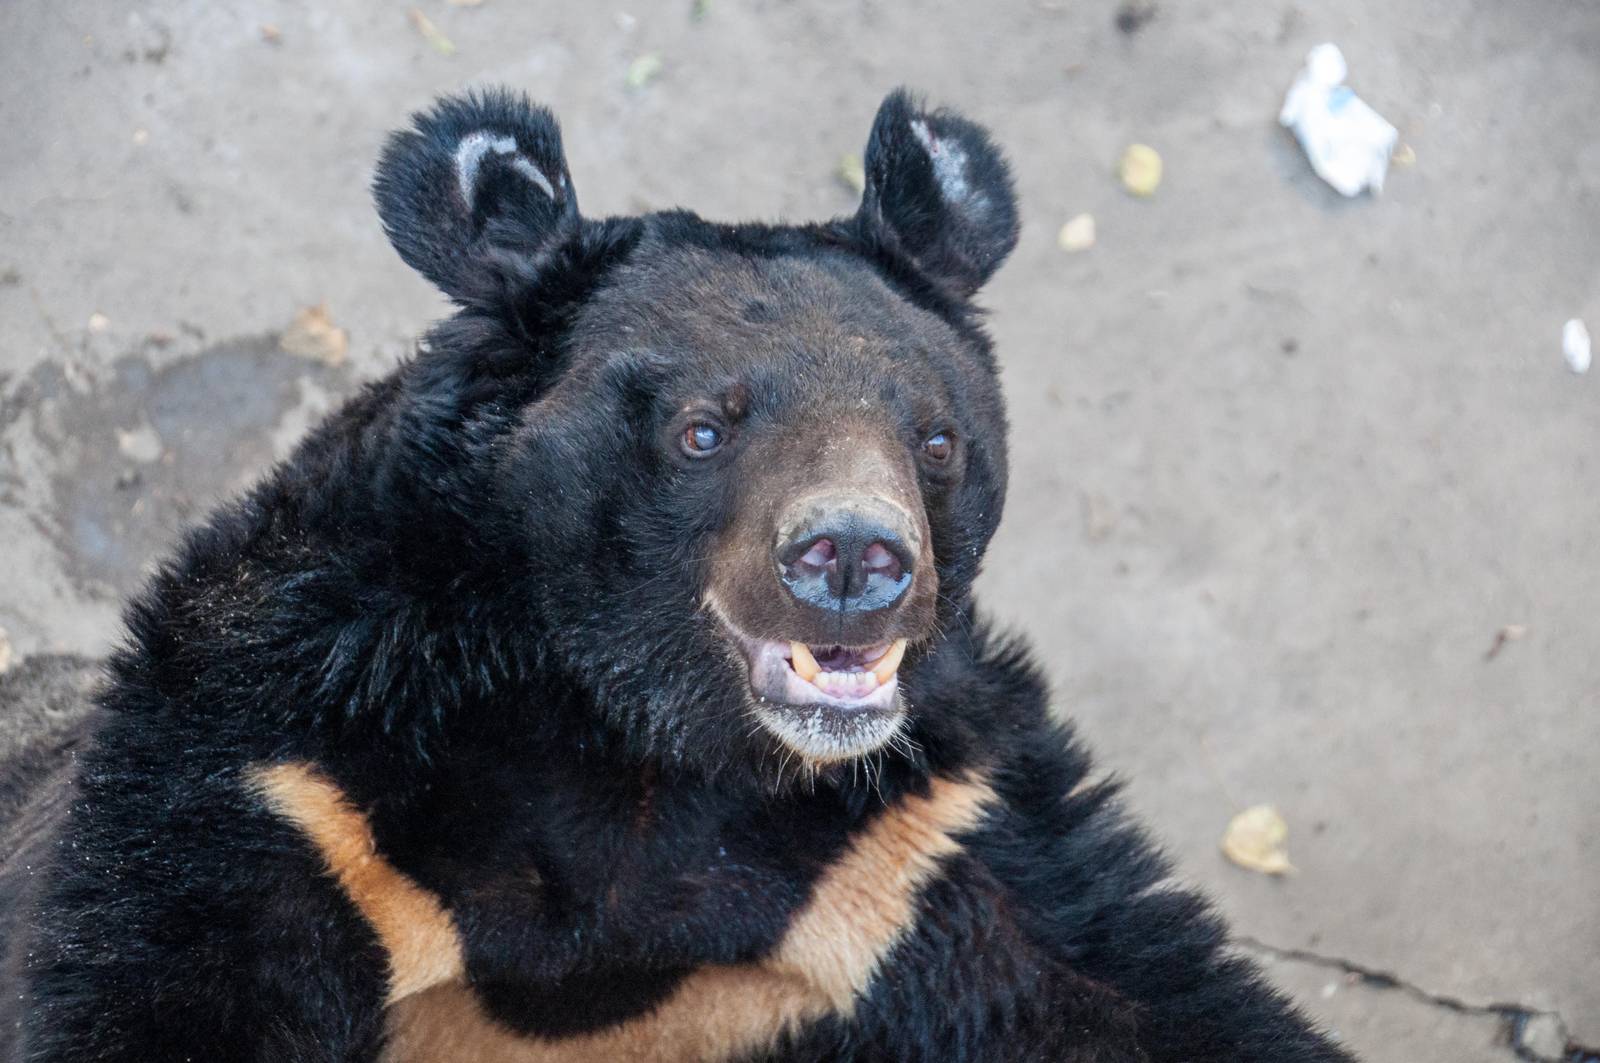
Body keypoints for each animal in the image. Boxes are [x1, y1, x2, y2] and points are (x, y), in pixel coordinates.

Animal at [4, 89, 1355, 1062]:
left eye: (933, 439)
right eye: (705, 429)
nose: (853, 559)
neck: (643, 747)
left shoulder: (913, 851)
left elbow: (1137, 993)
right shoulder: (298, 792)